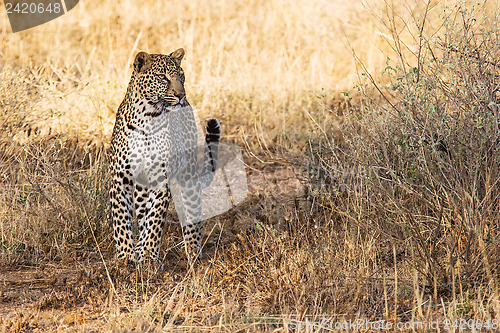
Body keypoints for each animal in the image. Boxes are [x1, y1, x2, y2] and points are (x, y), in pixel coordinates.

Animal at [109, 47, 221, 264]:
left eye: (181, 75)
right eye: (163, 77)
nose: (181, 95)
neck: (147, 116)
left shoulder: (161, 179)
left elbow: (155, 220)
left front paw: (148, 255)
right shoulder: (120, 177)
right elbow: (121, 219)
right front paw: (126, 255)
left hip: (189, 176)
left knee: (193, 212)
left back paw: (193, 251)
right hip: (141, 189)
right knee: (142, 215)